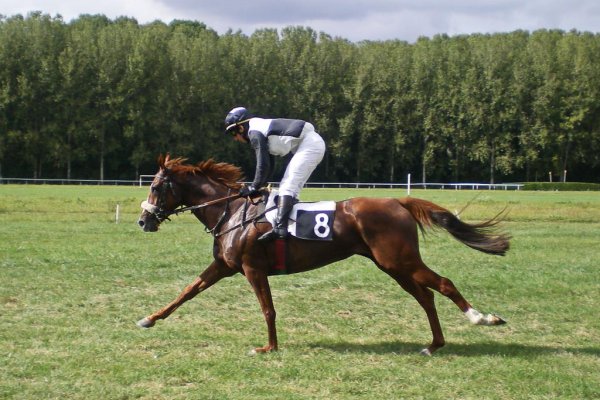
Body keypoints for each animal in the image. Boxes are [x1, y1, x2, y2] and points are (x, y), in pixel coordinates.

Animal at [137, 155, 510, 354]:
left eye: (155, 187)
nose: (143, 220)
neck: (231, 212)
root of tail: (397, 201)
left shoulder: (253, 268)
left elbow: (268, 310)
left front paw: (268, 347)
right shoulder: (223, 265)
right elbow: (186, 292)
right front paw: (149, 318)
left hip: (399, 260)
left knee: (443, 284)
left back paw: (482, 318)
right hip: (392, 266)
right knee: (425, 296)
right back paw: (433, 344)